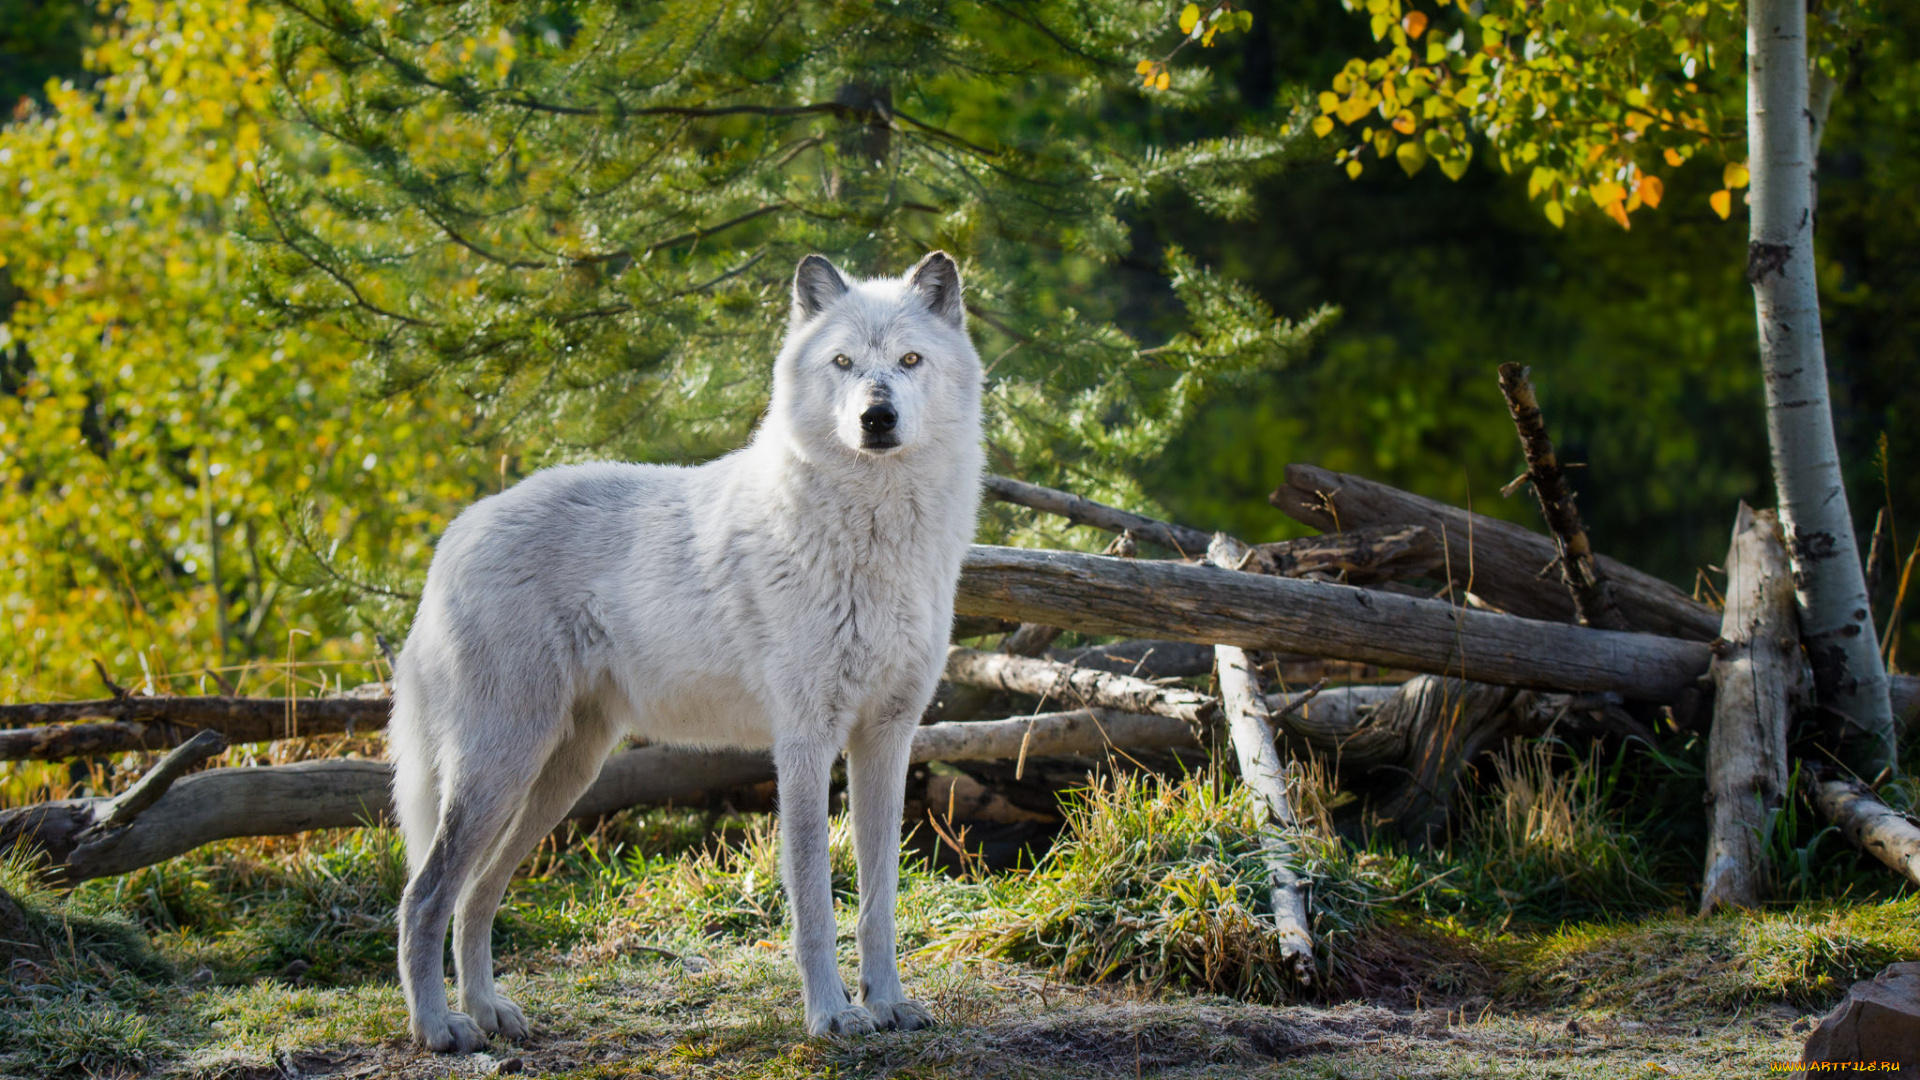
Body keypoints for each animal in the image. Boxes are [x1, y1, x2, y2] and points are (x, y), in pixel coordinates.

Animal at [386, 251, 984, 1051]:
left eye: (910, 360)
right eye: (844, 363)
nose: (876, 417)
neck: (873, 539)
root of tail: (455, 533)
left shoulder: (886, 740)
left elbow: (878, 903)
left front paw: (889, 1004)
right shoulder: (803, 744)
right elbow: (815, 906)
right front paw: (830, 1016)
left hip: (558, 777)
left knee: (476, 897)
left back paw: (491, 1013)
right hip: (500, 766)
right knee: (423, 897)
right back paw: (438, 1027)